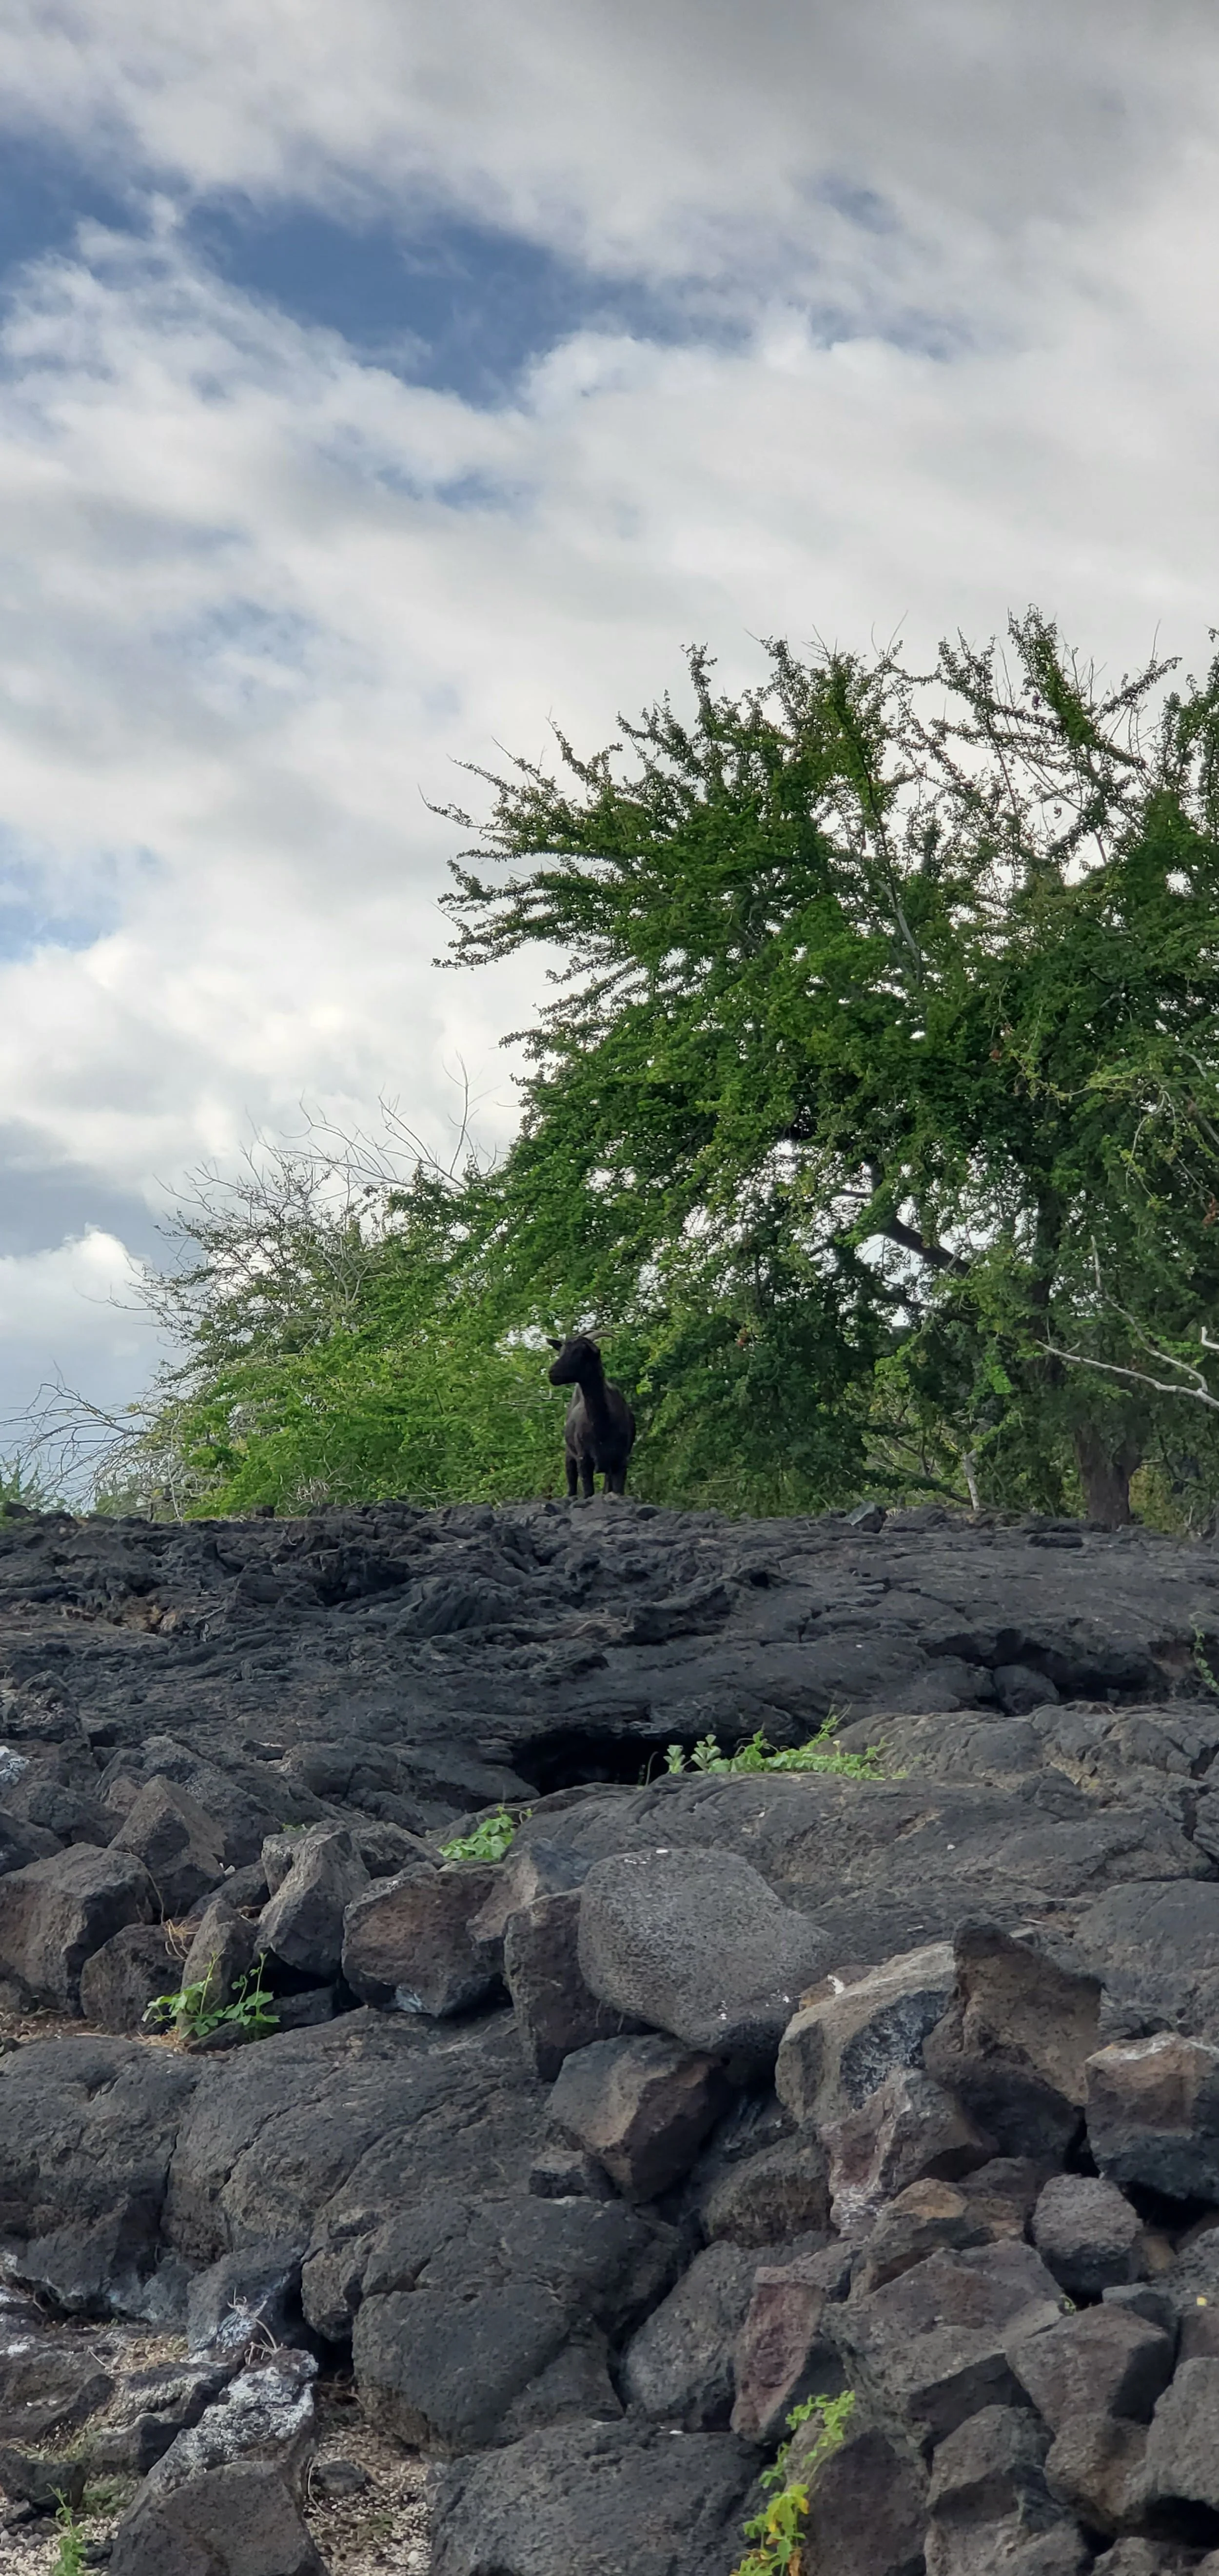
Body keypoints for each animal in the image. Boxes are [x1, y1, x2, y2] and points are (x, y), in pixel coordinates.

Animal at [547, 1336, 636, 1498]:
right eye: (562, 1351)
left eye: (580, 1352)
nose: (551, 1373)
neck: (603, 1426)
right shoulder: (584, 1459)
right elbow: (588, 1491)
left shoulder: (620, 1460)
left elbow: (618, 1490)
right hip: (570, 1454)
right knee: (571, 1483)